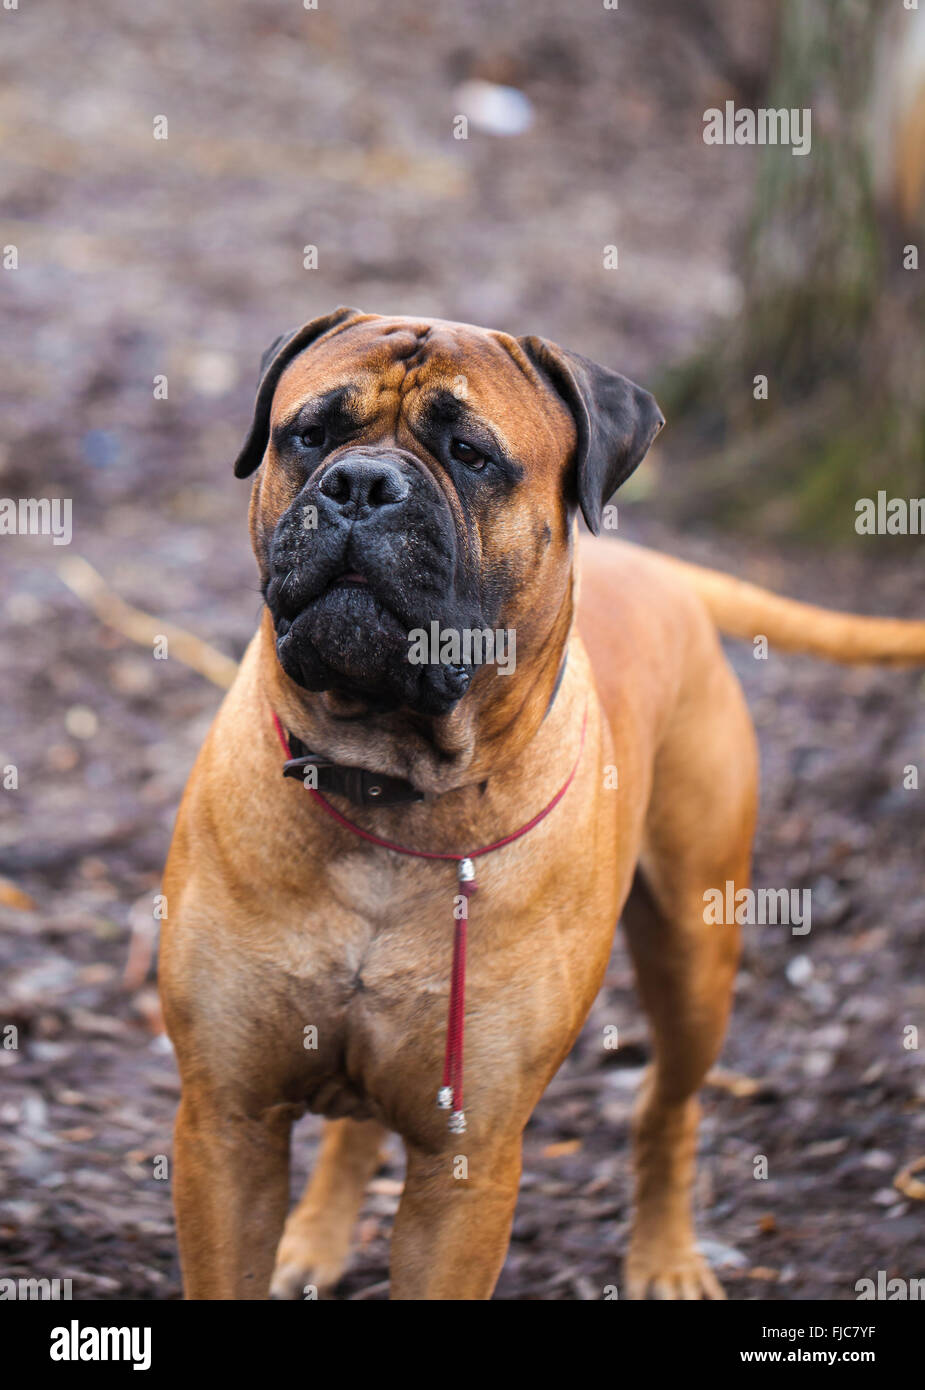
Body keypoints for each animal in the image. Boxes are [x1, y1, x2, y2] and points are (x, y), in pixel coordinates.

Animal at [160, 309, 925, 1295]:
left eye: (469, 453)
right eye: (310, 433)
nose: (361, 484)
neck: (393, 782)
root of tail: (658, 566)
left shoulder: (470, 1160)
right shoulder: (227, 1122)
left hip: (695, 956)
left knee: (666, 1107)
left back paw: (665, 1255)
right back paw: (317, 1239)